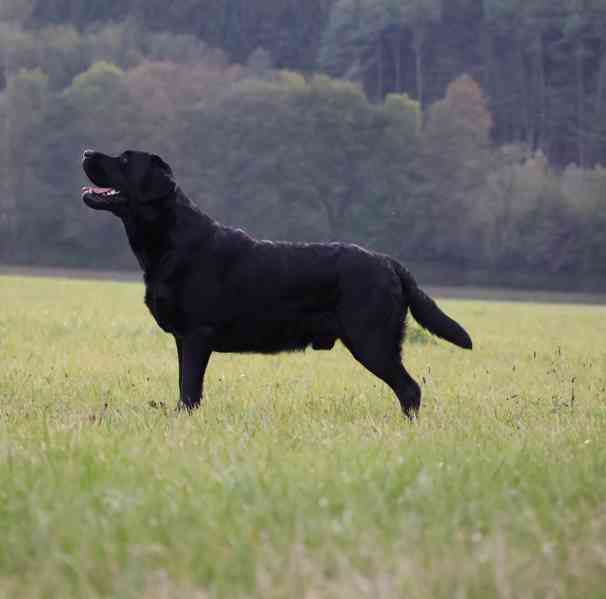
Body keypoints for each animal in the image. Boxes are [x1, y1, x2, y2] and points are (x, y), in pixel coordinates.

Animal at [82, 150, 476, 420]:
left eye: (124, 160)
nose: (86, 152)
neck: (169, 240)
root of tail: (390, 262)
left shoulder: (196, 335)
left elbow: (189, 388)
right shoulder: (184, 339)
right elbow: (185, 386)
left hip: (372, 340)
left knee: (410, 389)